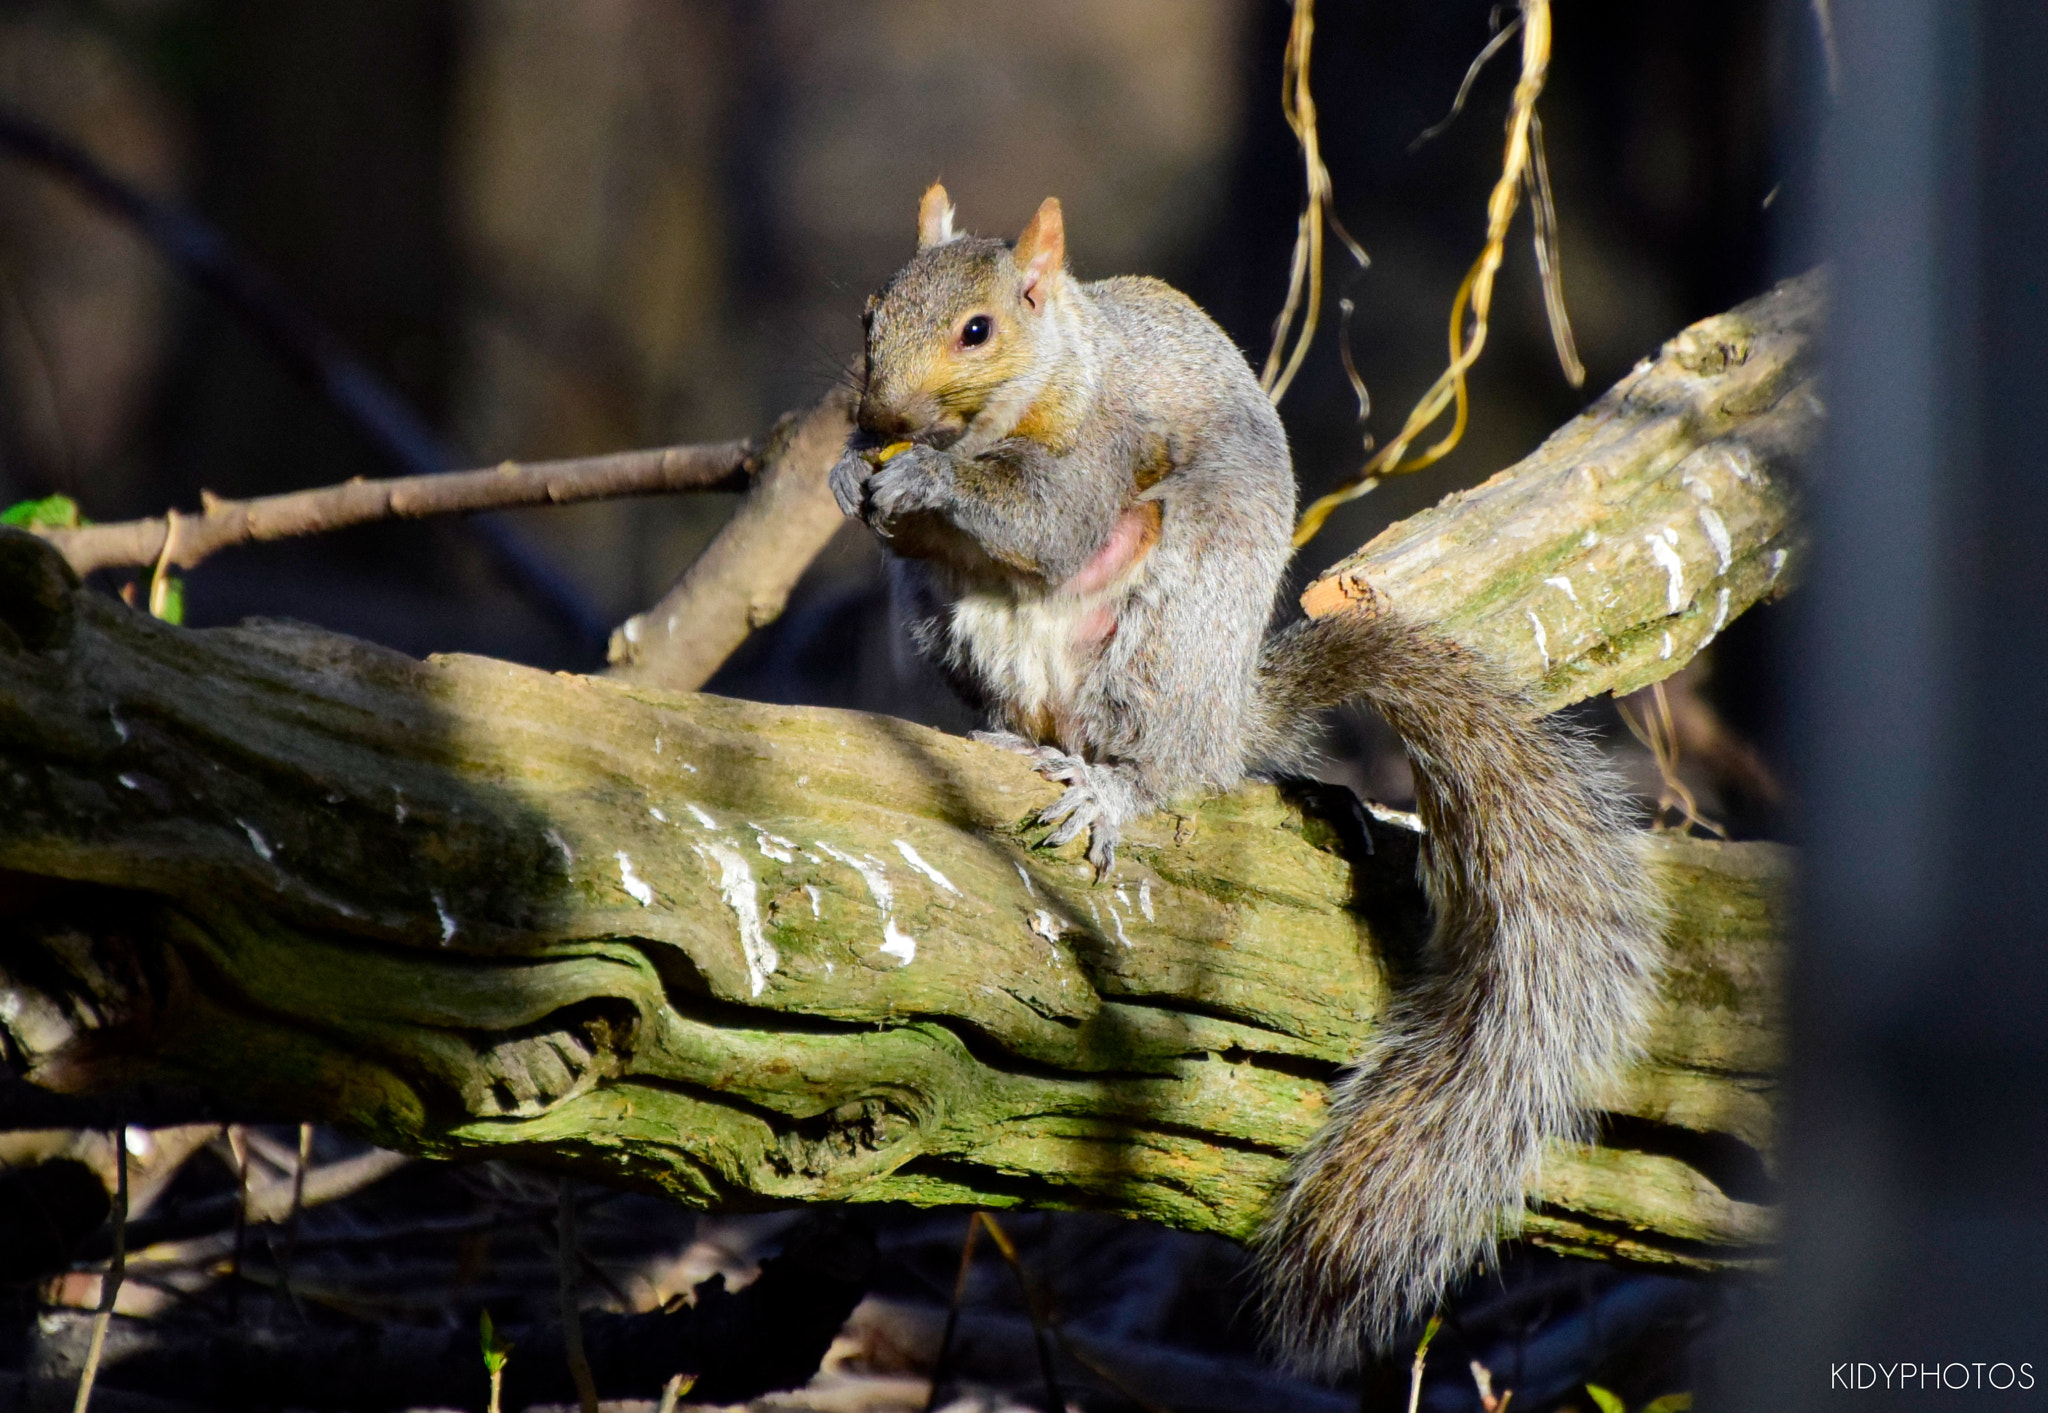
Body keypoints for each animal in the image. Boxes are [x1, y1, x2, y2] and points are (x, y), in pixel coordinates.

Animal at [827, 185, 1666, 1376]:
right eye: (868, 313)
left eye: (978, 331)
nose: (876, 410)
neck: (1057, 373)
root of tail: (1228, 714)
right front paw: (849, 469)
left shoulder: (1099, 447)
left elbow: (1047, 523)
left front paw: (926, 475)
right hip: (960, 631)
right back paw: (1009, 741)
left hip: (1165, 633)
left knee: (1160, 766)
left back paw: (1106, 786)